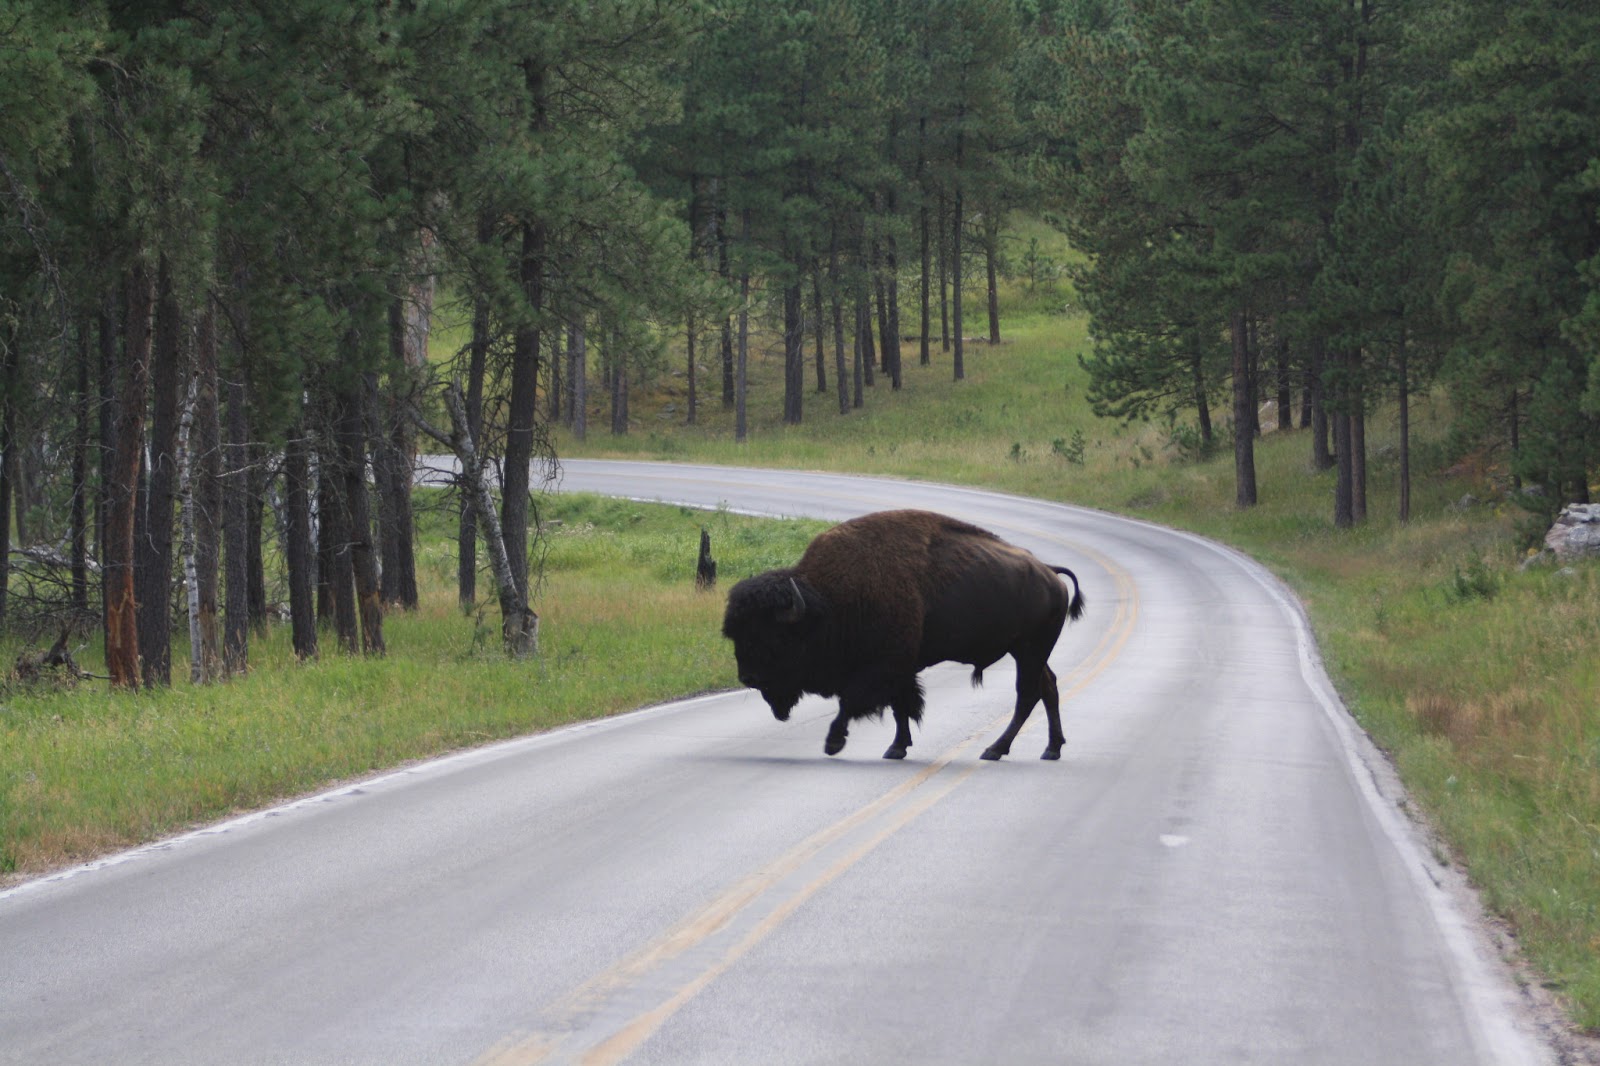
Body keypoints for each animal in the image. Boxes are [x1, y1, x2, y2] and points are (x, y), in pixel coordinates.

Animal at [721, 509, 1086, 761]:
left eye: (772, 636)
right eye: (737, 635)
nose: (748, 677)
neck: (827, 602)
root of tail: (1049, 572)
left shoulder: (883, 666)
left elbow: (853, 701)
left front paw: (833, 742)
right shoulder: (898, 669)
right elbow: (901, 705)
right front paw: (897, 748)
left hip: (1030, 650)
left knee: (1027, 694)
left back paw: (994, 750)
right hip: (1027, 651)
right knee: (1048, 687)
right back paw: (1051, 749)